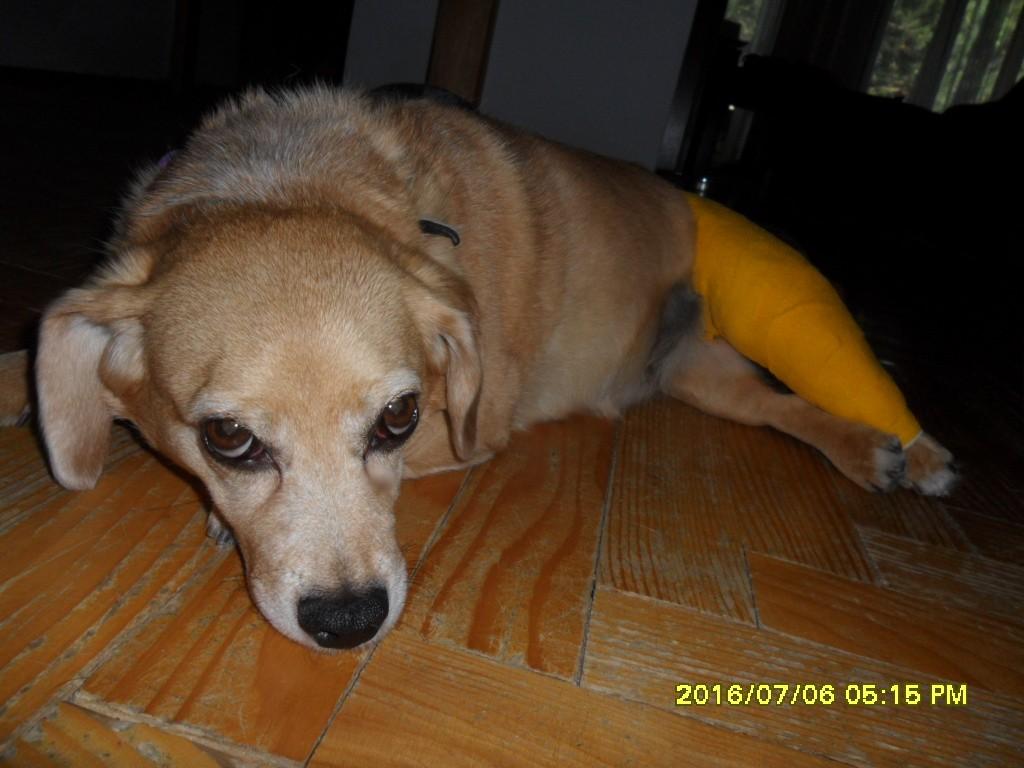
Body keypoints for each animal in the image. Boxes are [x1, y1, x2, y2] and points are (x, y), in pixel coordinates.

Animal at [24, 87, 955, 651]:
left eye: (399, 417)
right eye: (226, 437)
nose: (350, 623)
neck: (281, 179)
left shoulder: (471, 428)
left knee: (814, 394)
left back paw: (902, 451)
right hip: (702, 377)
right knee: (770, 407)